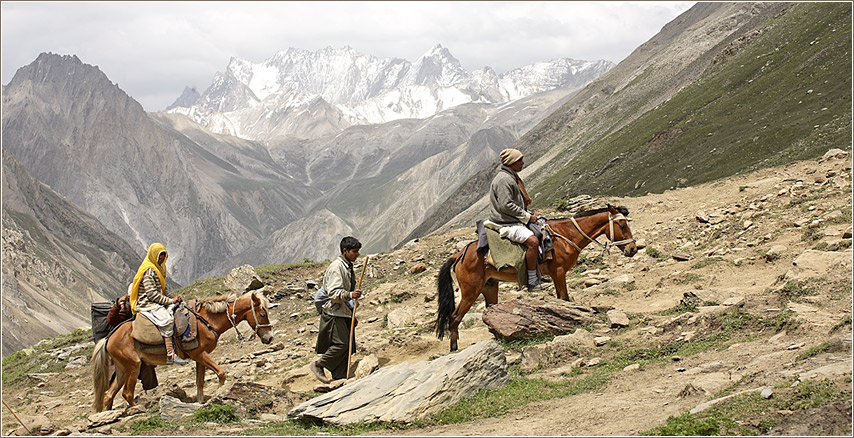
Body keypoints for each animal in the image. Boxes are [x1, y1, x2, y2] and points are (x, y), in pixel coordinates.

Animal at [90, 290, 272, 410]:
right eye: (262, 314)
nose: (269, 338)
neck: (207, 320)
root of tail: (108, 338)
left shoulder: (200, 356)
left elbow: (200, 381)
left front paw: (201, 401)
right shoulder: (199, 354)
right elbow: (221, 373)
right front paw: (219, 392)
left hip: (122, 369)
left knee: (108, 394)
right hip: (133, 366)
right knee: (127, 393)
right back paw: (138, 410)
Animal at [438, 205, 640, 352]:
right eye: (622, 225)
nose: (632, 249)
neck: (566, 235)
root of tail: (459, 254)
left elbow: (562, 299)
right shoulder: (558, 272)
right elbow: (564, 299)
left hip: (490, 287)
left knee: (488, 312)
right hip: (471, 291)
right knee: (454, 317)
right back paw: (454, 347)